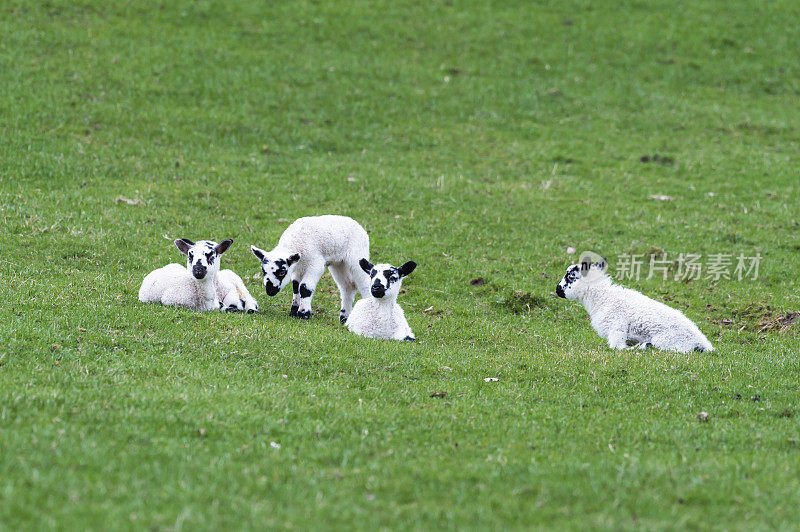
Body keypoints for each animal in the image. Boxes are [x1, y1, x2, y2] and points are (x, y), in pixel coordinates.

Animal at [552, 258, 716, 354]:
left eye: (570, 276)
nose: (557, 290)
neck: (602, 297)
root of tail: (702, 343)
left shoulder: (616, 327)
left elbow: (618, 348)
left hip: (668, 341)